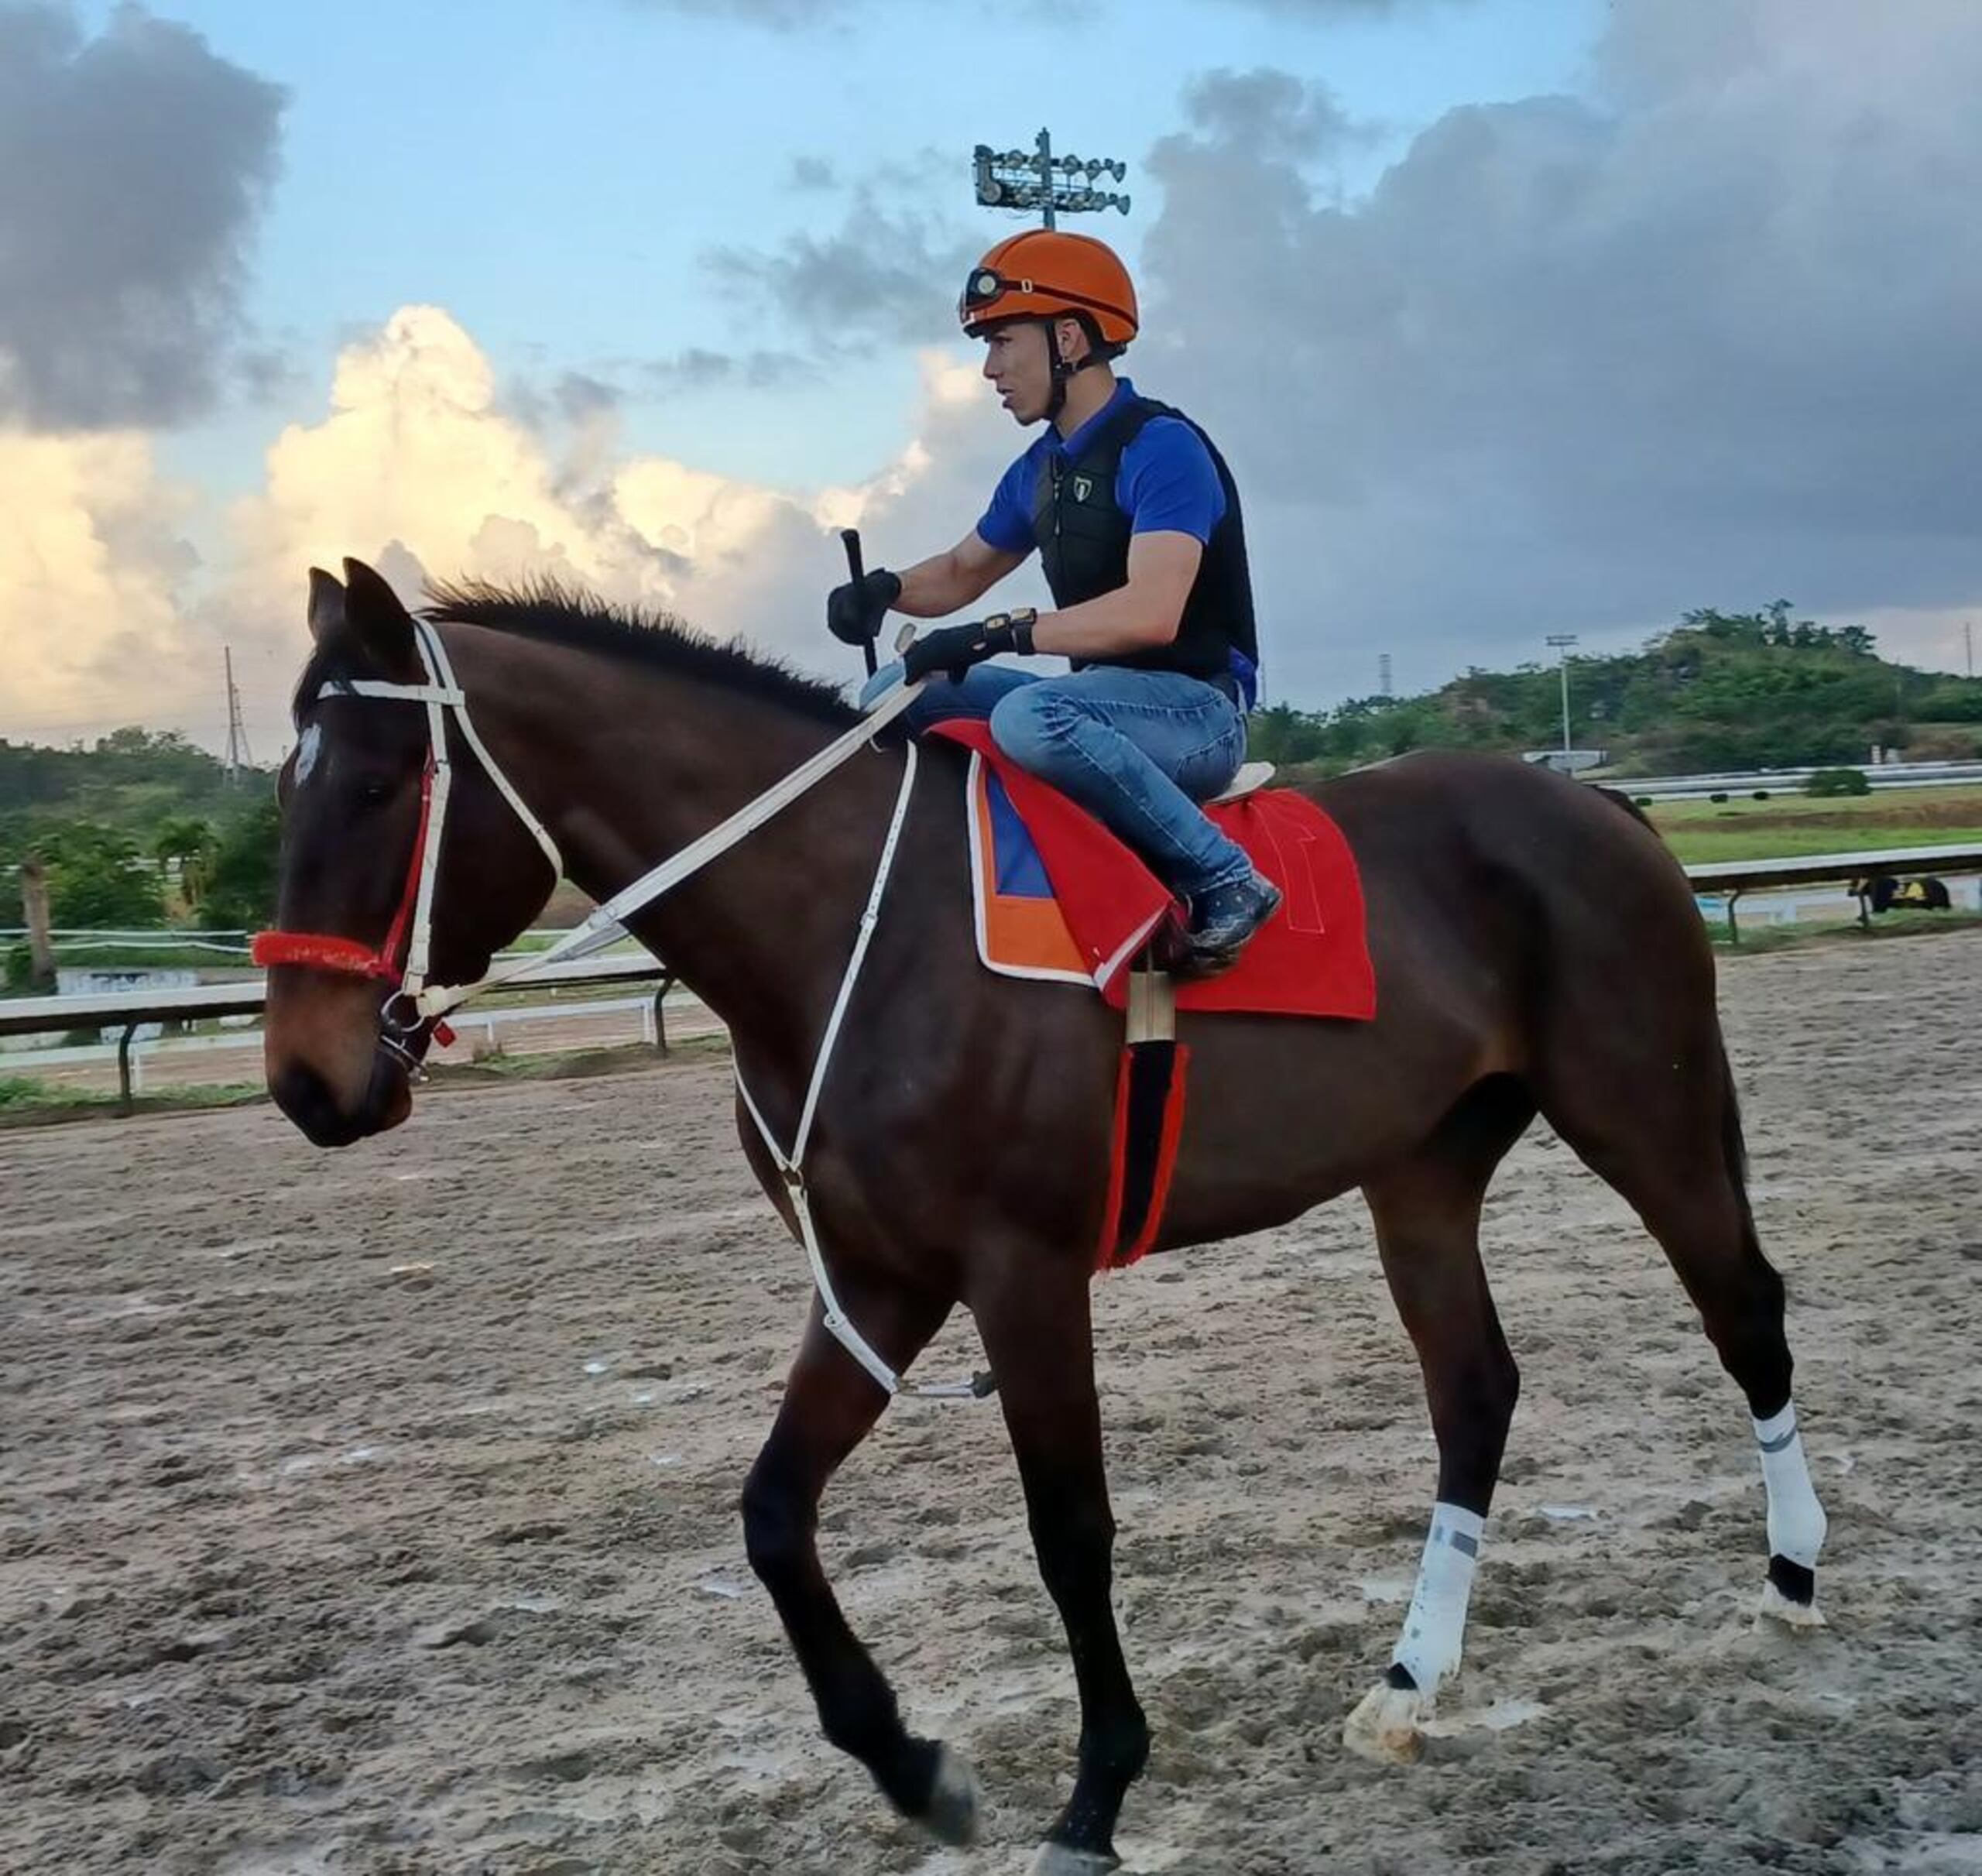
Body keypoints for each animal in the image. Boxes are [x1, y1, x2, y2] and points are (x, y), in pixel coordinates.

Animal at [259, 559, 1823, 1871]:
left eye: (385, 783)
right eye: (283, 785)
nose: (305, 1078)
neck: (858, 928)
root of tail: (1599, 806)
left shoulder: (1024, 1272)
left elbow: (1069, 1525)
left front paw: (1097, 1789)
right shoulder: (878, 1281)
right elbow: (772, 1514)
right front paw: (911, 1763)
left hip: (1643, 1114)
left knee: (1745, 1310)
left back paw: (1795, 1577)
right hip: (1424, 1170)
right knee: (1475, 1388)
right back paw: (1408, 1682)